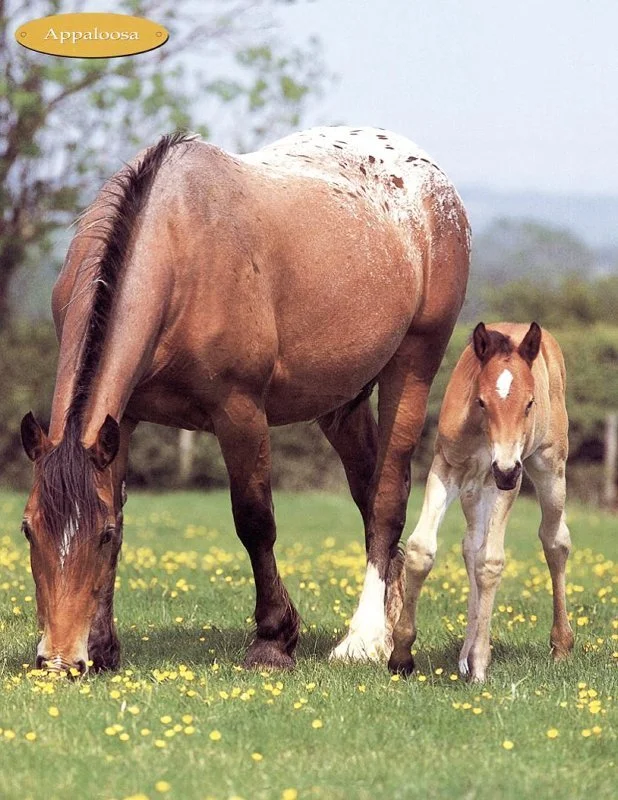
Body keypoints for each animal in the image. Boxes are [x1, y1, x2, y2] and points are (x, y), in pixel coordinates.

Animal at [20, 126, 470, 674]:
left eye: (97, 535)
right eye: (27, 530)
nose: (59, 661)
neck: (179, 243)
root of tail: (432, 181)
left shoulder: (240, 413)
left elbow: (255, 522)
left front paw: (273, 640)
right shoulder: (120, 423)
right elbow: (124, 513)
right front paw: (105, 647)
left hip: (413, 367)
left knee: (386, 500)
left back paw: (362, 641)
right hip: (342, 403)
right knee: (369, 495)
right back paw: (388, 635)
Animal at [389, 322, 574, 681]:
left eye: (530, 403)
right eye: (481, 401)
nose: (505, 469)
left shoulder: (506, 479)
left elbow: (491, 562)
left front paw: (480, 663)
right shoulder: (447, 467)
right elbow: (421, 550)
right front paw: (401, 656)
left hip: (548, 467)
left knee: (554, 540)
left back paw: (560, 647)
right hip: (475, 488)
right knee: (471, 546)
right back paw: (464, 655)